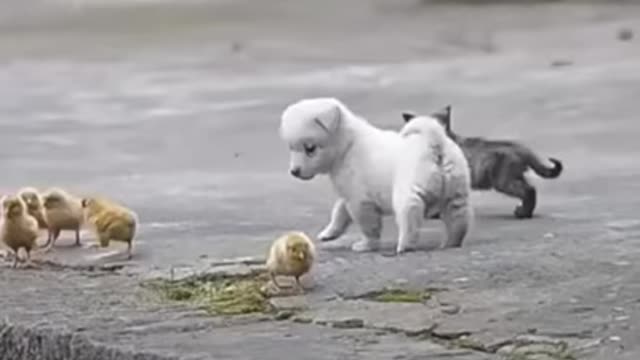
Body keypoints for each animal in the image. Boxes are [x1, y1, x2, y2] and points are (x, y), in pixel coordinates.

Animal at [278, 97, 470, 252]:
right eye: (291, 148)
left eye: (310, 148)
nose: (294, 171)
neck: (347, 146)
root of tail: (434, 143)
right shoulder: (350, 195)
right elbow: (339, 211)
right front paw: (329, 233)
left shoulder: (360, 201)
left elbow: (368, 226)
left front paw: (366, 245)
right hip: (456, 196)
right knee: (458, 222)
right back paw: (450, 243)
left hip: (407, 194)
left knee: (410, 218)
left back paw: (405, 245)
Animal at [402, 106, 564, 219]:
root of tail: (520, 147)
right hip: (513, 177)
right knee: (530, 189)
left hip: (503, 181)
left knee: (529, 190)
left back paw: (523, 213)